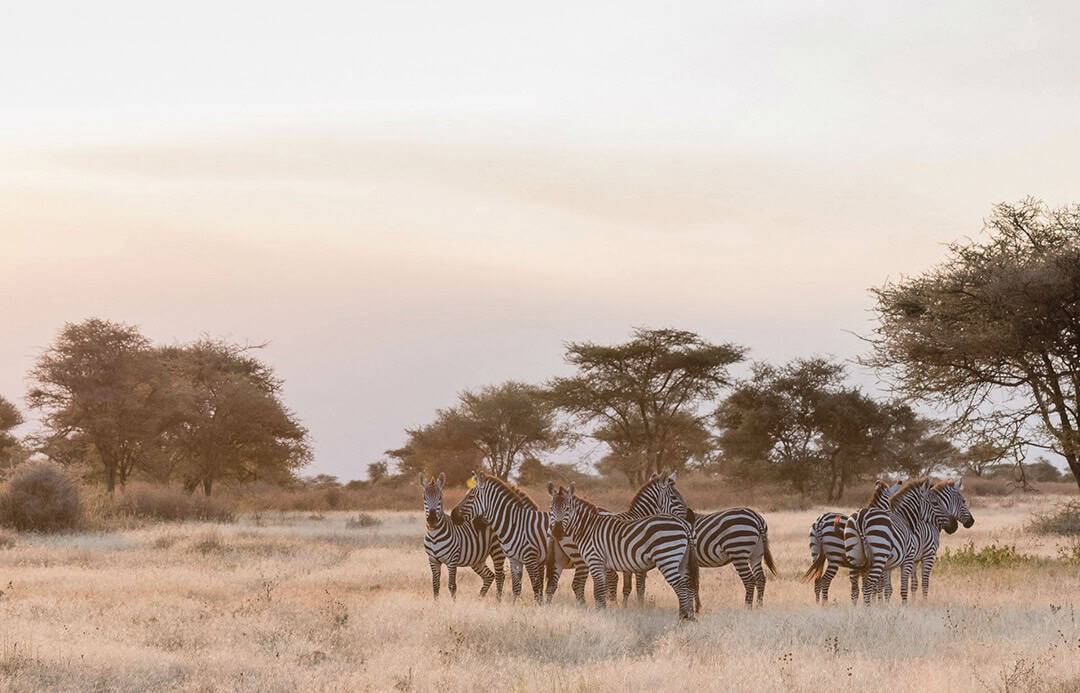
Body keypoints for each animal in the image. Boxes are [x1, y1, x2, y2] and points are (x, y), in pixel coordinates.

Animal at [547, 481, 699, 619]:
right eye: (551, 509)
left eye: (567, 509)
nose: (557, 532)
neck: (587, 528)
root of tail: (683, 524)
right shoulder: (605, 564)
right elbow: (604, 590)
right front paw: (605, 612)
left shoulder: (595, 561)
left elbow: (600, 591)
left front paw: (600, 614)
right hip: (681, 561)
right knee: (687, 585)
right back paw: (688, 617)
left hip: (667, 558)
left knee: (680, 586)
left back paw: (683, 618)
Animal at [656, 471, 776, 610]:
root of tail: (756, 517)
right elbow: (695, 584)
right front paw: (697, 608)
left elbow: (691, 584)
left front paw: (694, 608)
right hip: (757, 553)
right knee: (761, 578)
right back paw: (759, 606)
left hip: (738, 551)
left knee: (750, 580)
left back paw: (747, 608)